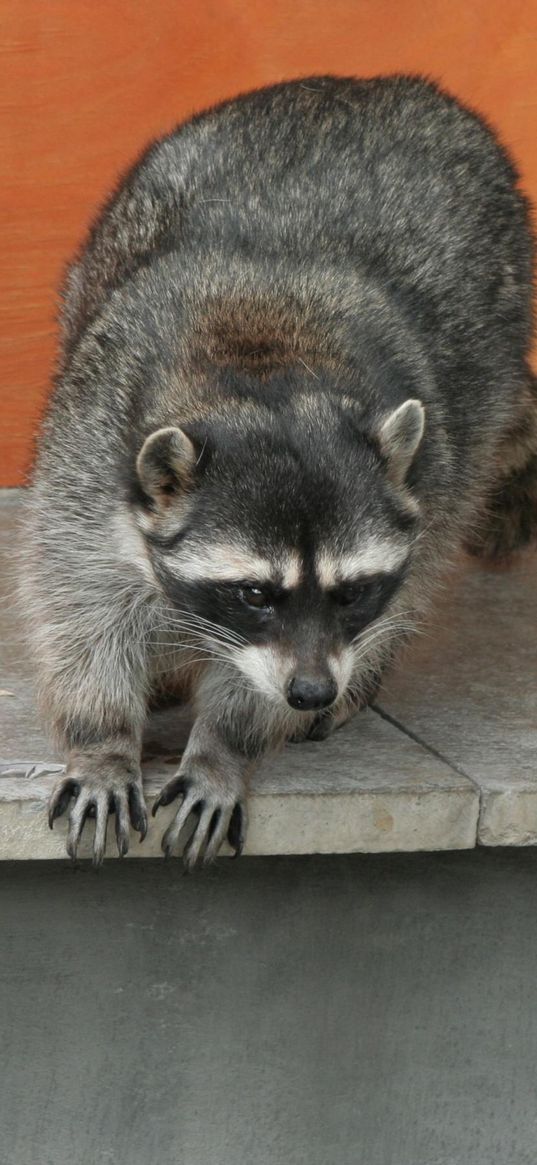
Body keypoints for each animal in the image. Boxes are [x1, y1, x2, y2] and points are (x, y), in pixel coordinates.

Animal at [18, 75, 533, 866]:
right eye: (255, 592)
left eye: (353, 591)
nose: (312, 692)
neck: (267, 367)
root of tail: (392, 87)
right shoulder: (88, 455)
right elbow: (79, 608)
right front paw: (102, 739)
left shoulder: (428, 472)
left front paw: (225, 747)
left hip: (483, 380)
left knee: (435, 548)